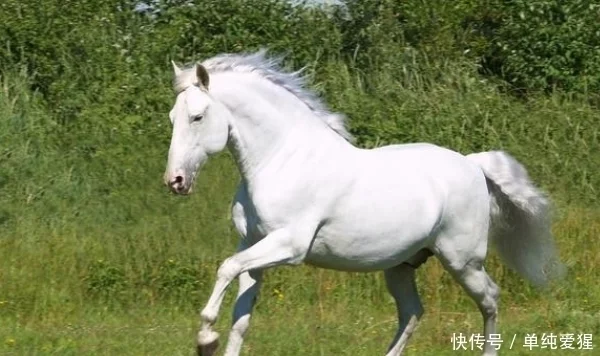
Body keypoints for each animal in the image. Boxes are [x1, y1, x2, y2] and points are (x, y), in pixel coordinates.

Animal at [163, 50, 564, 356]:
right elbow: (241, 317)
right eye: (172, 118)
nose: (175, 181)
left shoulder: (288, 246)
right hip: (402, 265)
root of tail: (473, 164)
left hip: (462, 260)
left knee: (490, 300)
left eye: (197, 117)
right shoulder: (252, 245)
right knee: (412, 312)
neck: (282, 160)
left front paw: (205, 338)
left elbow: (225, 269)